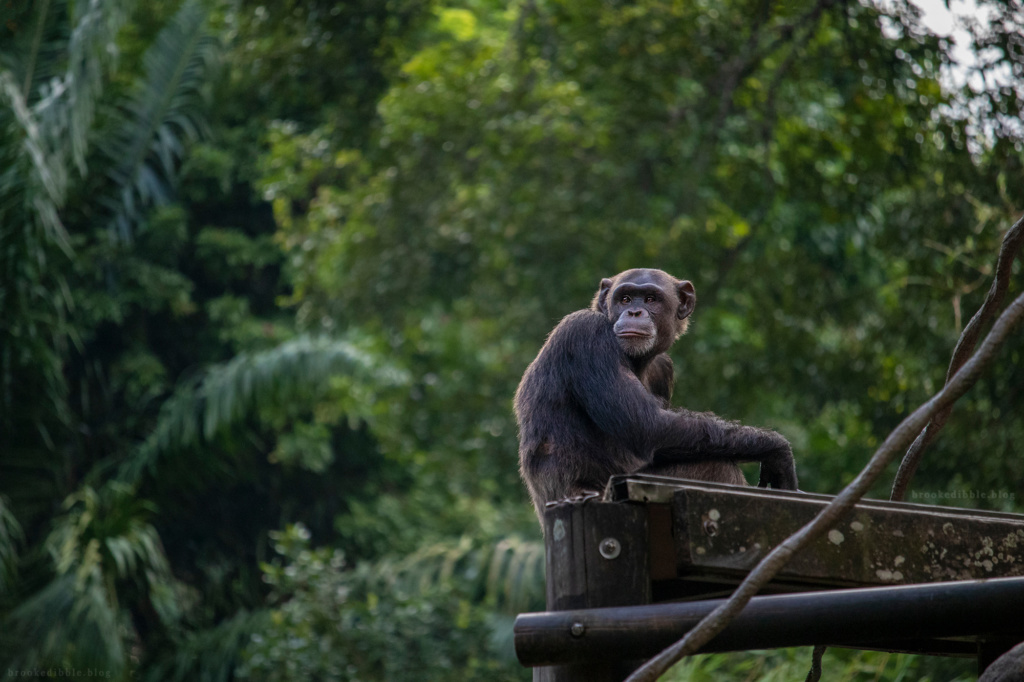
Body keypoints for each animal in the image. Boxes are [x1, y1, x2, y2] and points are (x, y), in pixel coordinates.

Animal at [516, 268, 794, 518]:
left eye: (651, 299)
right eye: (625, 298)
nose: (634, 312)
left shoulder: (664, 368)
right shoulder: (588, 334)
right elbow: (648, 425)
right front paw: (776, 450)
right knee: (714, 465)